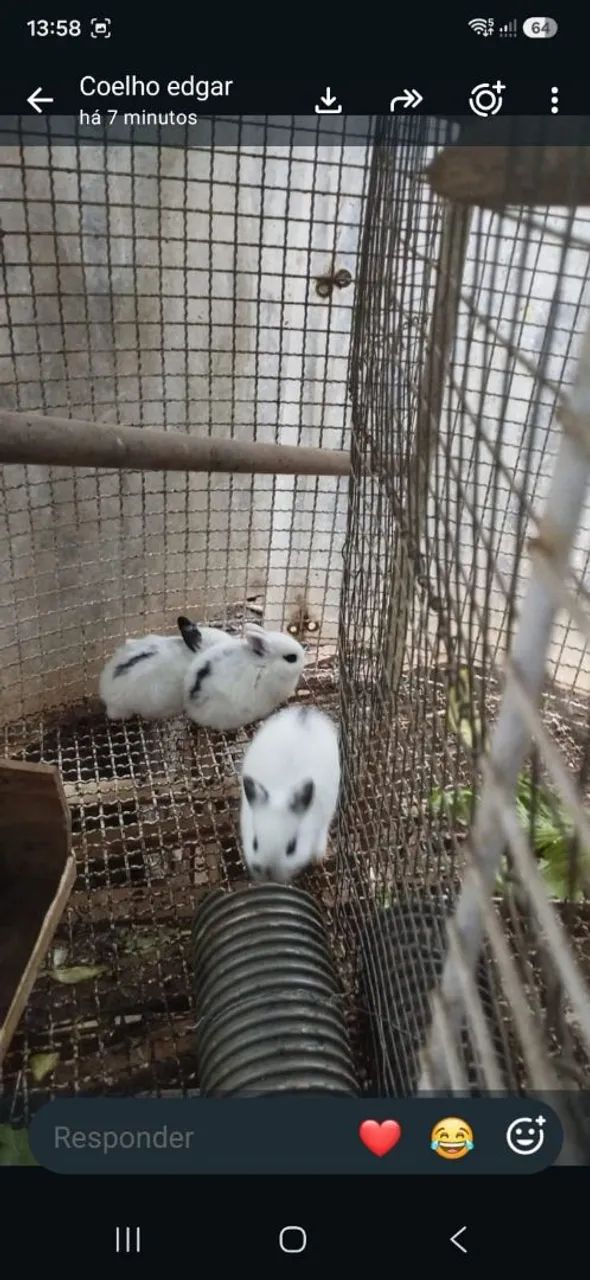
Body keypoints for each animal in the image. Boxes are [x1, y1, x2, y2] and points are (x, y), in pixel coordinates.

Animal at [240, 704, 340, 884]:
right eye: (255, 843)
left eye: (292, 848)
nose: (266, 871)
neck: (281, 790)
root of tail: (305, 713)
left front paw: (318, 859)